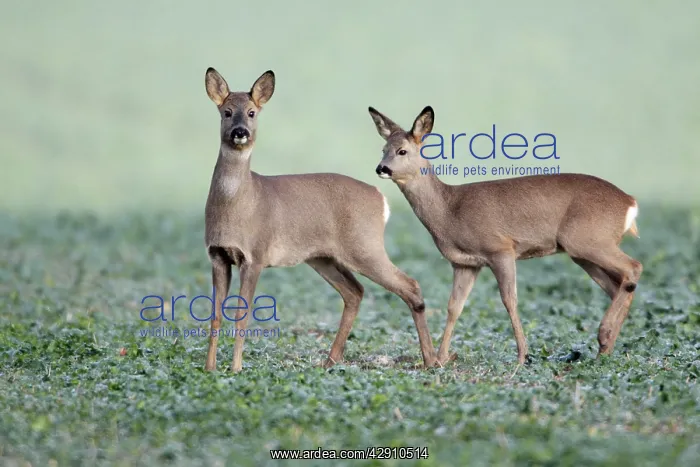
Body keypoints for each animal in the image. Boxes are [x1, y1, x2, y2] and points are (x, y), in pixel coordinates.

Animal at [202, 68, 437, 372]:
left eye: (252, 112)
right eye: (227, 112)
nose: (240, 132)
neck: (240, 203)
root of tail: (380, 198)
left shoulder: (255, 256)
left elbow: (243, 313)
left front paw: (236, 368)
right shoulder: (217, 256)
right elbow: (215, 315)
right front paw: (210, 369)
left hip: (364, 246)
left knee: (410, 285)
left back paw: (431, 360)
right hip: (323, 257)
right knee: (355, 291)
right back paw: (330, 360)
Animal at [367, 105, 643, 366]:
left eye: (402, 151)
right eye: (383, 149)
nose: (381, 168)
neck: (449, 210)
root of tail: (630, 203)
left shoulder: (500, 249)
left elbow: (509, 300)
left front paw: (522, 356)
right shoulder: (465, 263)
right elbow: (454, 306)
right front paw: (441, 359)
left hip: (588, 240)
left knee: (634, 267)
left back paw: (603, 336)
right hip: (583, 251)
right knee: (617, 285)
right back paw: (604, 350)